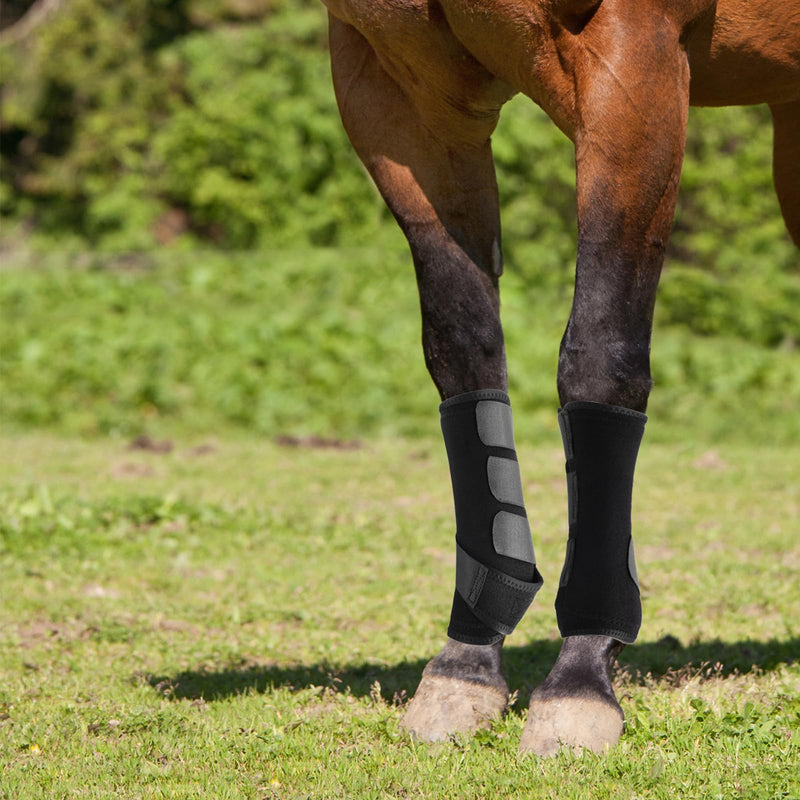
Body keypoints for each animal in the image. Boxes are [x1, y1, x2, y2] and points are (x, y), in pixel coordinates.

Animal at [319, 0, 800, 755]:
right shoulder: (401, 90)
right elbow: (463, 349)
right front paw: (465, 668)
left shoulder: (633, 63)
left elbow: (601, 356)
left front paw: (579, 679)